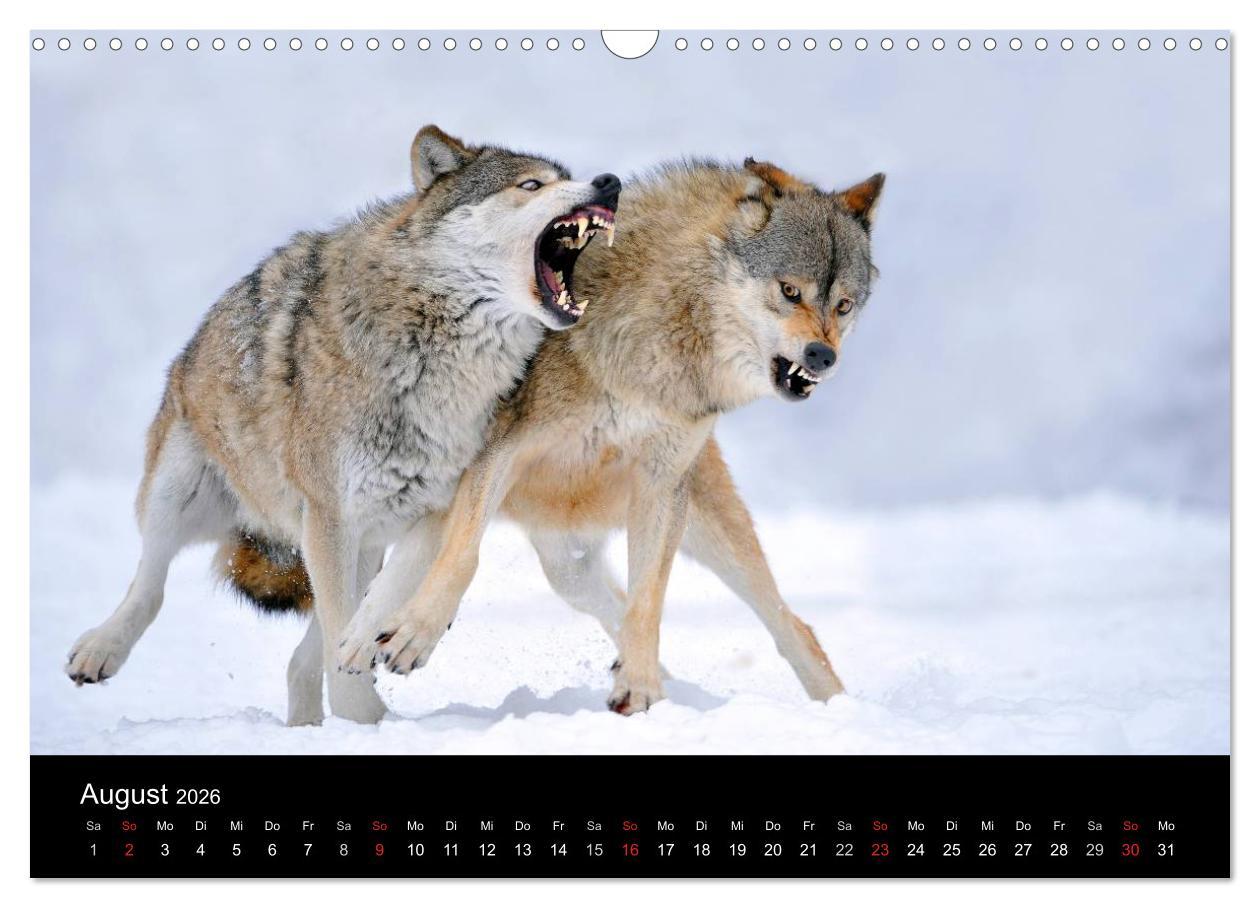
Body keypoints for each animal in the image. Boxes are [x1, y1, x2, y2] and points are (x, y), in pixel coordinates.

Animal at [64, 125, 621, 725]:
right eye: (532, 185)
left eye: (567, 177)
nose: (609, 183)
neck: (434, 358)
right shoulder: (330, 512)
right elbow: (338, 639)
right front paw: (365, 721)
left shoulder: (438, 505)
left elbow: (382, 599)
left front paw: (376, 658)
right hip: (181, 491)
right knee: (151, 580)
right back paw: (100, 649)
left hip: (354, 543)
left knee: (301, 655)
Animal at [329, 157, 884, 713]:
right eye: (790, 291)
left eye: (844, 305)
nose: (822, 356)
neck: (662, 341)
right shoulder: (499, 450)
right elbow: (463, 554)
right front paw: (415, 633)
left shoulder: (661, 486)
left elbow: (647, 601)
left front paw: (638, 686)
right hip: (571, 564)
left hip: (687, 533)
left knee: (791, 624)